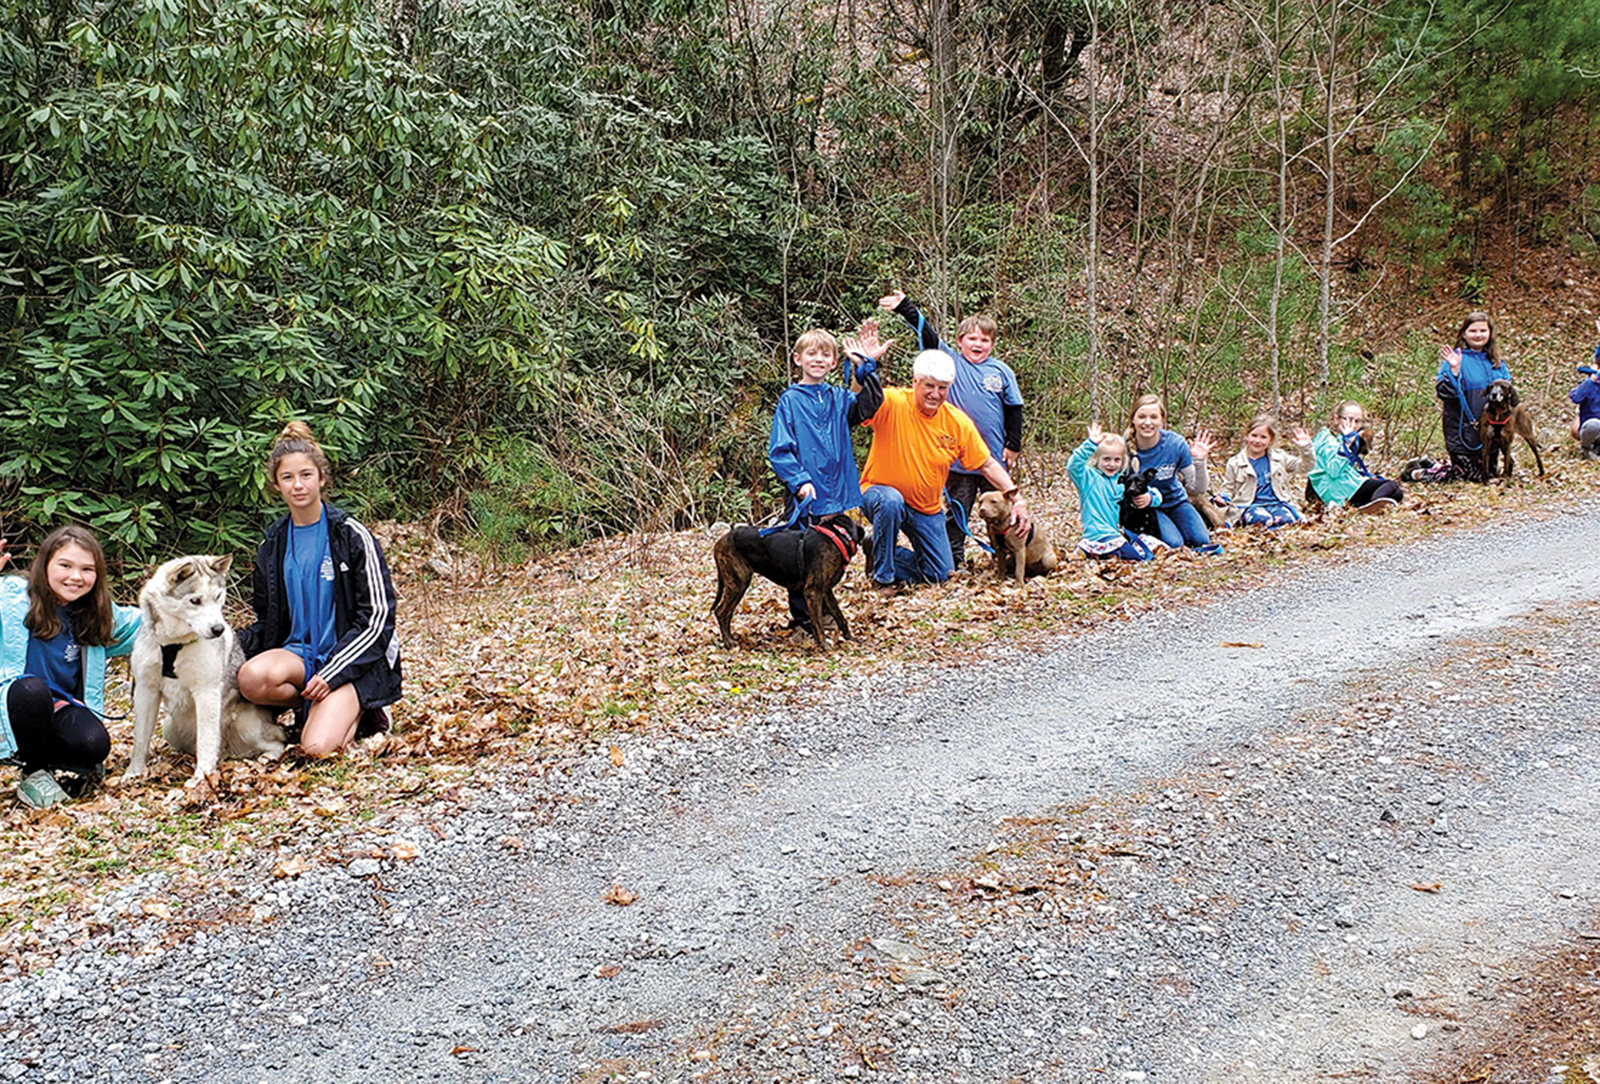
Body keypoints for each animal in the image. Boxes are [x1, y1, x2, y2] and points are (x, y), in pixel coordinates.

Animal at [125, 556, 291, 786]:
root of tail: (228, 751)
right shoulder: (145, 689)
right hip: (169, 727)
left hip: (247, 727)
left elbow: (206, 740)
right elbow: (141, 738)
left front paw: (201, 776)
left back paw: (267, 758)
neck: (173, 644)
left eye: (218, 597)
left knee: (277, 743)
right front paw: (134, 772)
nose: (218, 629)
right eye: (195, 601)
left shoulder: (206, 691)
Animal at [710, 518, 864, 655]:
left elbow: (839, 616)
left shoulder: (826, 591)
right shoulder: (813, 592)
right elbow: (818, 624)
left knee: (725, 613)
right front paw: (825, 646)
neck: (838, 536)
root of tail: (720, 541)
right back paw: (728, 642)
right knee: (721, 612)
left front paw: (850, 638)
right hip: (738, 582)